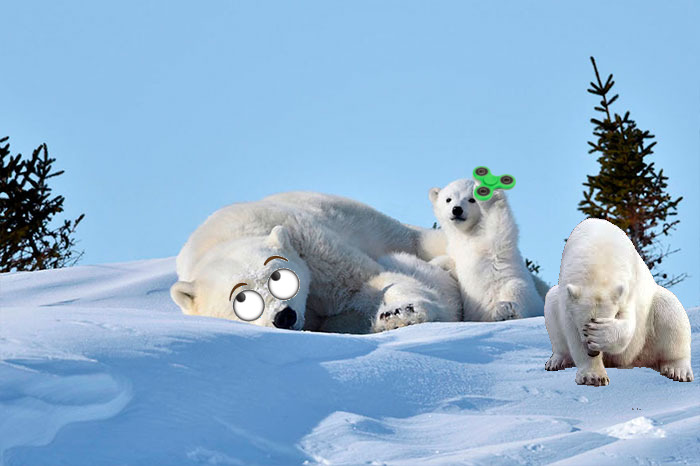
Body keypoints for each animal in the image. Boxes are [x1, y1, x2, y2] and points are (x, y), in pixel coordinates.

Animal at [170, 191, 460, 334]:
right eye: (243, 300)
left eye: (278, 277)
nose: (284, 316)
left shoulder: (311, 246)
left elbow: (366, 282)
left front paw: (401, 313)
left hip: (389, 230)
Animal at [428, 177, 545, 321]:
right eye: (448, 199)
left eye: (471, 199)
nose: (457, 209)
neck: (468, 233)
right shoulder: (456, 248)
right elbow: (452, 263)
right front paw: (434, 264)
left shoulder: (492, 242)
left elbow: (499, 225)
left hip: (522, 292)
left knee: (516, 289)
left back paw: (505, 311)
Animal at [544, 218, 693, 386]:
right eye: (584, 328)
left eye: (593, 325)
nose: (593, 352)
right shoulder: (567, 298)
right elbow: (571, 332)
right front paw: (594, 376)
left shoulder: (628, 288)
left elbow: (628, 324)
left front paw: (602, 333)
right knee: (551, 304)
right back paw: (557, 361)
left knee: (671, 311)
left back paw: (678, 370)